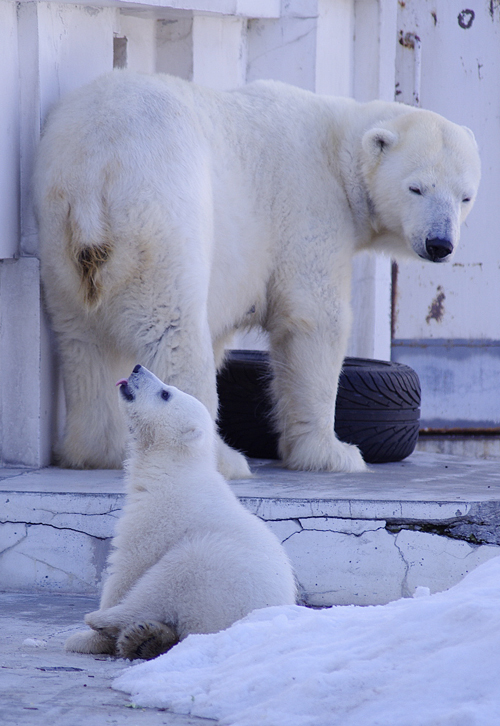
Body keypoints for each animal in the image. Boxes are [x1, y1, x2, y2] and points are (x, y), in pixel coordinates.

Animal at [35, 68, 480, 478]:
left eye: (465, 197)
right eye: (416, 188)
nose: (440, 244)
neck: (338, 147)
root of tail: (96, 168)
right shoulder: (308, 208)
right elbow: (315, 318)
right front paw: (333, 453)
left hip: (59, 234)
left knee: (80, 339)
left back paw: (97, 450)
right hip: (160, 214)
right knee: (175, 331)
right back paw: (221, 458)